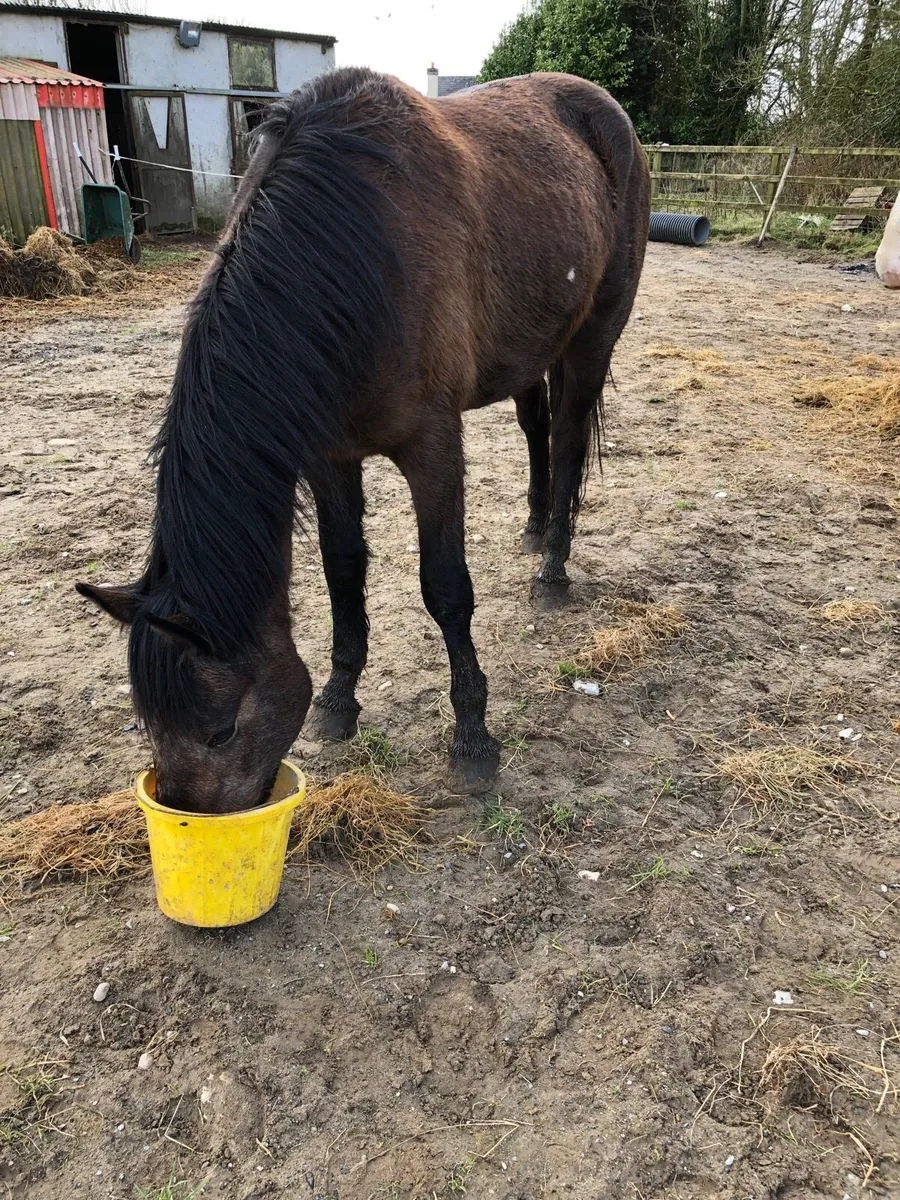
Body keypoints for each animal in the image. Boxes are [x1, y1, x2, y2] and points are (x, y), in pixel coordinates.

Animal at [77, 67, 650, 813]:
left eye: (221, 731)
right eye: (148, 725)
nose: (194, 822)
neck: (359, 254)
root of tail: (608, 113)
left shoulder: (433, 448)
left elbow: (446, 589)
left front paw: (473, 739)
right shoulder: (331, 457)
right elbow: (343, 572)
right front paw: (337, 700)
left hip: (591, 340)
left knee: (570, 439)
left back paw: (552, 568)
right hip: (531, 347)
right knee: (537, 430)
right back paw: (530, 529)